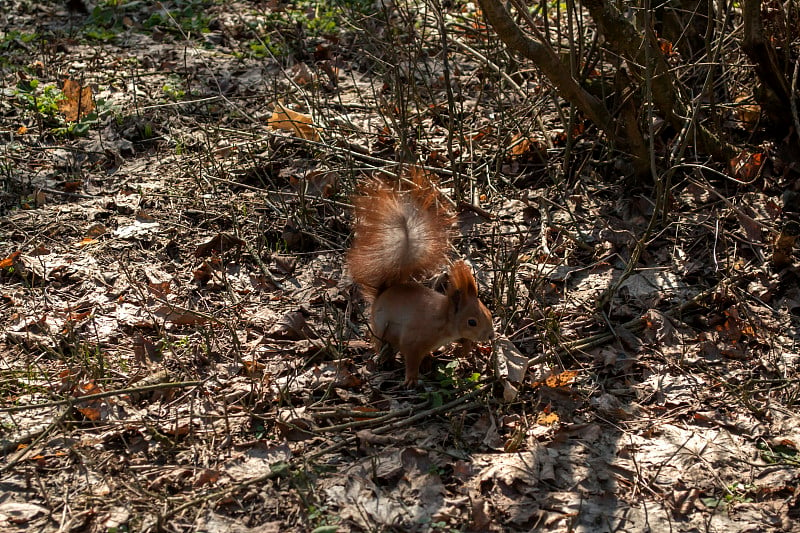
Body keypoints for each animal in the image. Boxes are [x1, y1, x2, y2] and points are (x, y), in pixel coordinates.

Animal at [348, 177, 494, 384]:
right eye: (471, 322)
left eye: (488, 312)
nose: (490, 335)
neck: (444, 321)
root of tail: (382, 293)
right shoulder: (414, 339)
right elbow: (410, 358)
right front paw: (411, 379)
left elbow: (464, 342)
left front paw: (464, 349)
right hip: (381, 327)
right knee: (381, 343)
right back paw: (385, 358)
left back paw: (428, 359)